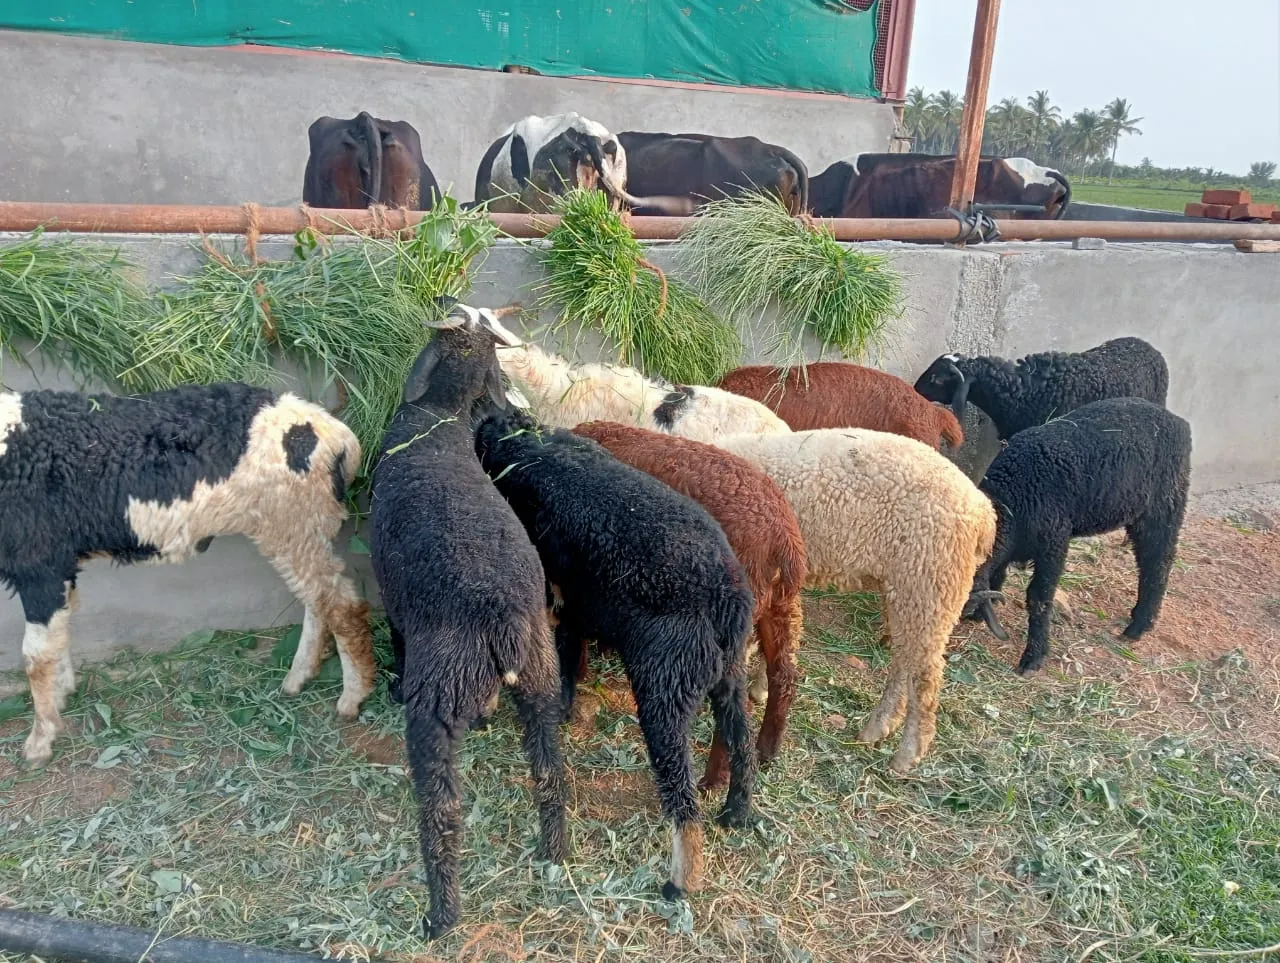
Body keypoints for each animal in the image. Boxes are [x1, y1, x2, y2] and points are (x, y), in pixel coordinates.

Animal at [0, 383, 375, 767]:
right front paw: (63, 696)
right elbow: (59, 637)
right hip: (301, 527)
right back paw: (297, 680)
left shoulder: (38, 564)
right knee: (318, 601)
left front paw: (39, 742)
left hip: (293, 522)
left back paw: (351, 698)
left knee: (341, 605)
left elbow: (36, 655)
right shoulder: (59, 564)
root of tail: (338, 435)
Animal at [369, 301, 568, 940]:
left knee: (442, 808)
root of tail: (500, 616)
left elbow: (395, 640)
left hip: (438, 692)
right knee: (550, 771)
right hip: (541, 677)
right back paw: (554, 853)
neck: (438, 421)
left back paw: (441, 914)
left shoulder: (393, 601)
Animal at [475, 409, 757, 900]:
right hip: (731, 679)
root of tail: (724, 598)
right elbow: (570, 658)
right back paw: (735, 815)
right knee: (743, 748)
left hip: (665, 688)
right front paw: (566, 707)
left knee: (683, 800)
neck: (530, 449)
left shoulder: (553, 596)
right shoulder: (575, 604)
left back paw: (680, 882)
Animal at [715, 429, 997, 772]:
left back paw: (906, 755)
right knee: (904, 661)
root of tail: (984, 513)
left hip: (930, 584)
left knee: (924, 676)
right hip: (908, 591)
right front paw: (759, 688)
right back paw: (879, 727)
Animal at [963, 397, 1191, 676]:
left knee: (1158, 563)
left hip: (1165, 506)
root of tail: (1179, 422)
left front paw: (1033, 658)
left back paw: (1139, 627)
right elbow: (998, 573)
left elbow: (1039, 598)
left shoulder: (1054, 542)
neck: (1012, 499)